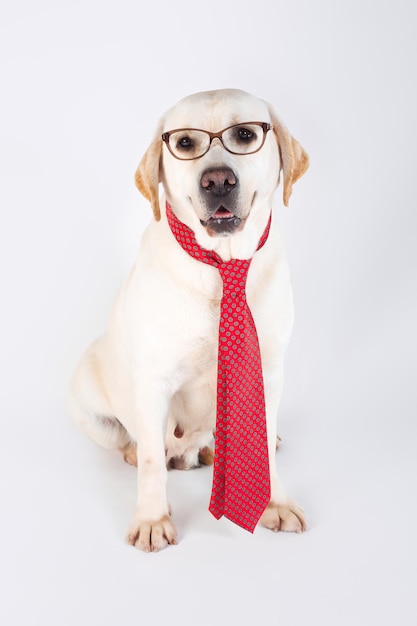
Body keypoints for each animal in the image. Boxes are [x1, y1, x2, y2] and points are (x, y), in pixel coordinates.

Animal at [69, 89, 308, 552]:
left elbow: (264, 446)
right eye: (184, 143)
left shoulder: (268, 372)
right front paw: (151, 518)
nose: (217, 181)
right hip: (86, 399)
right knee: (136, 444)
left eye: (244, 135)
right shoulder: (153, 380)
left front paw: (275, 502)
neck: (223, 265)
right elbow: (150, 462)